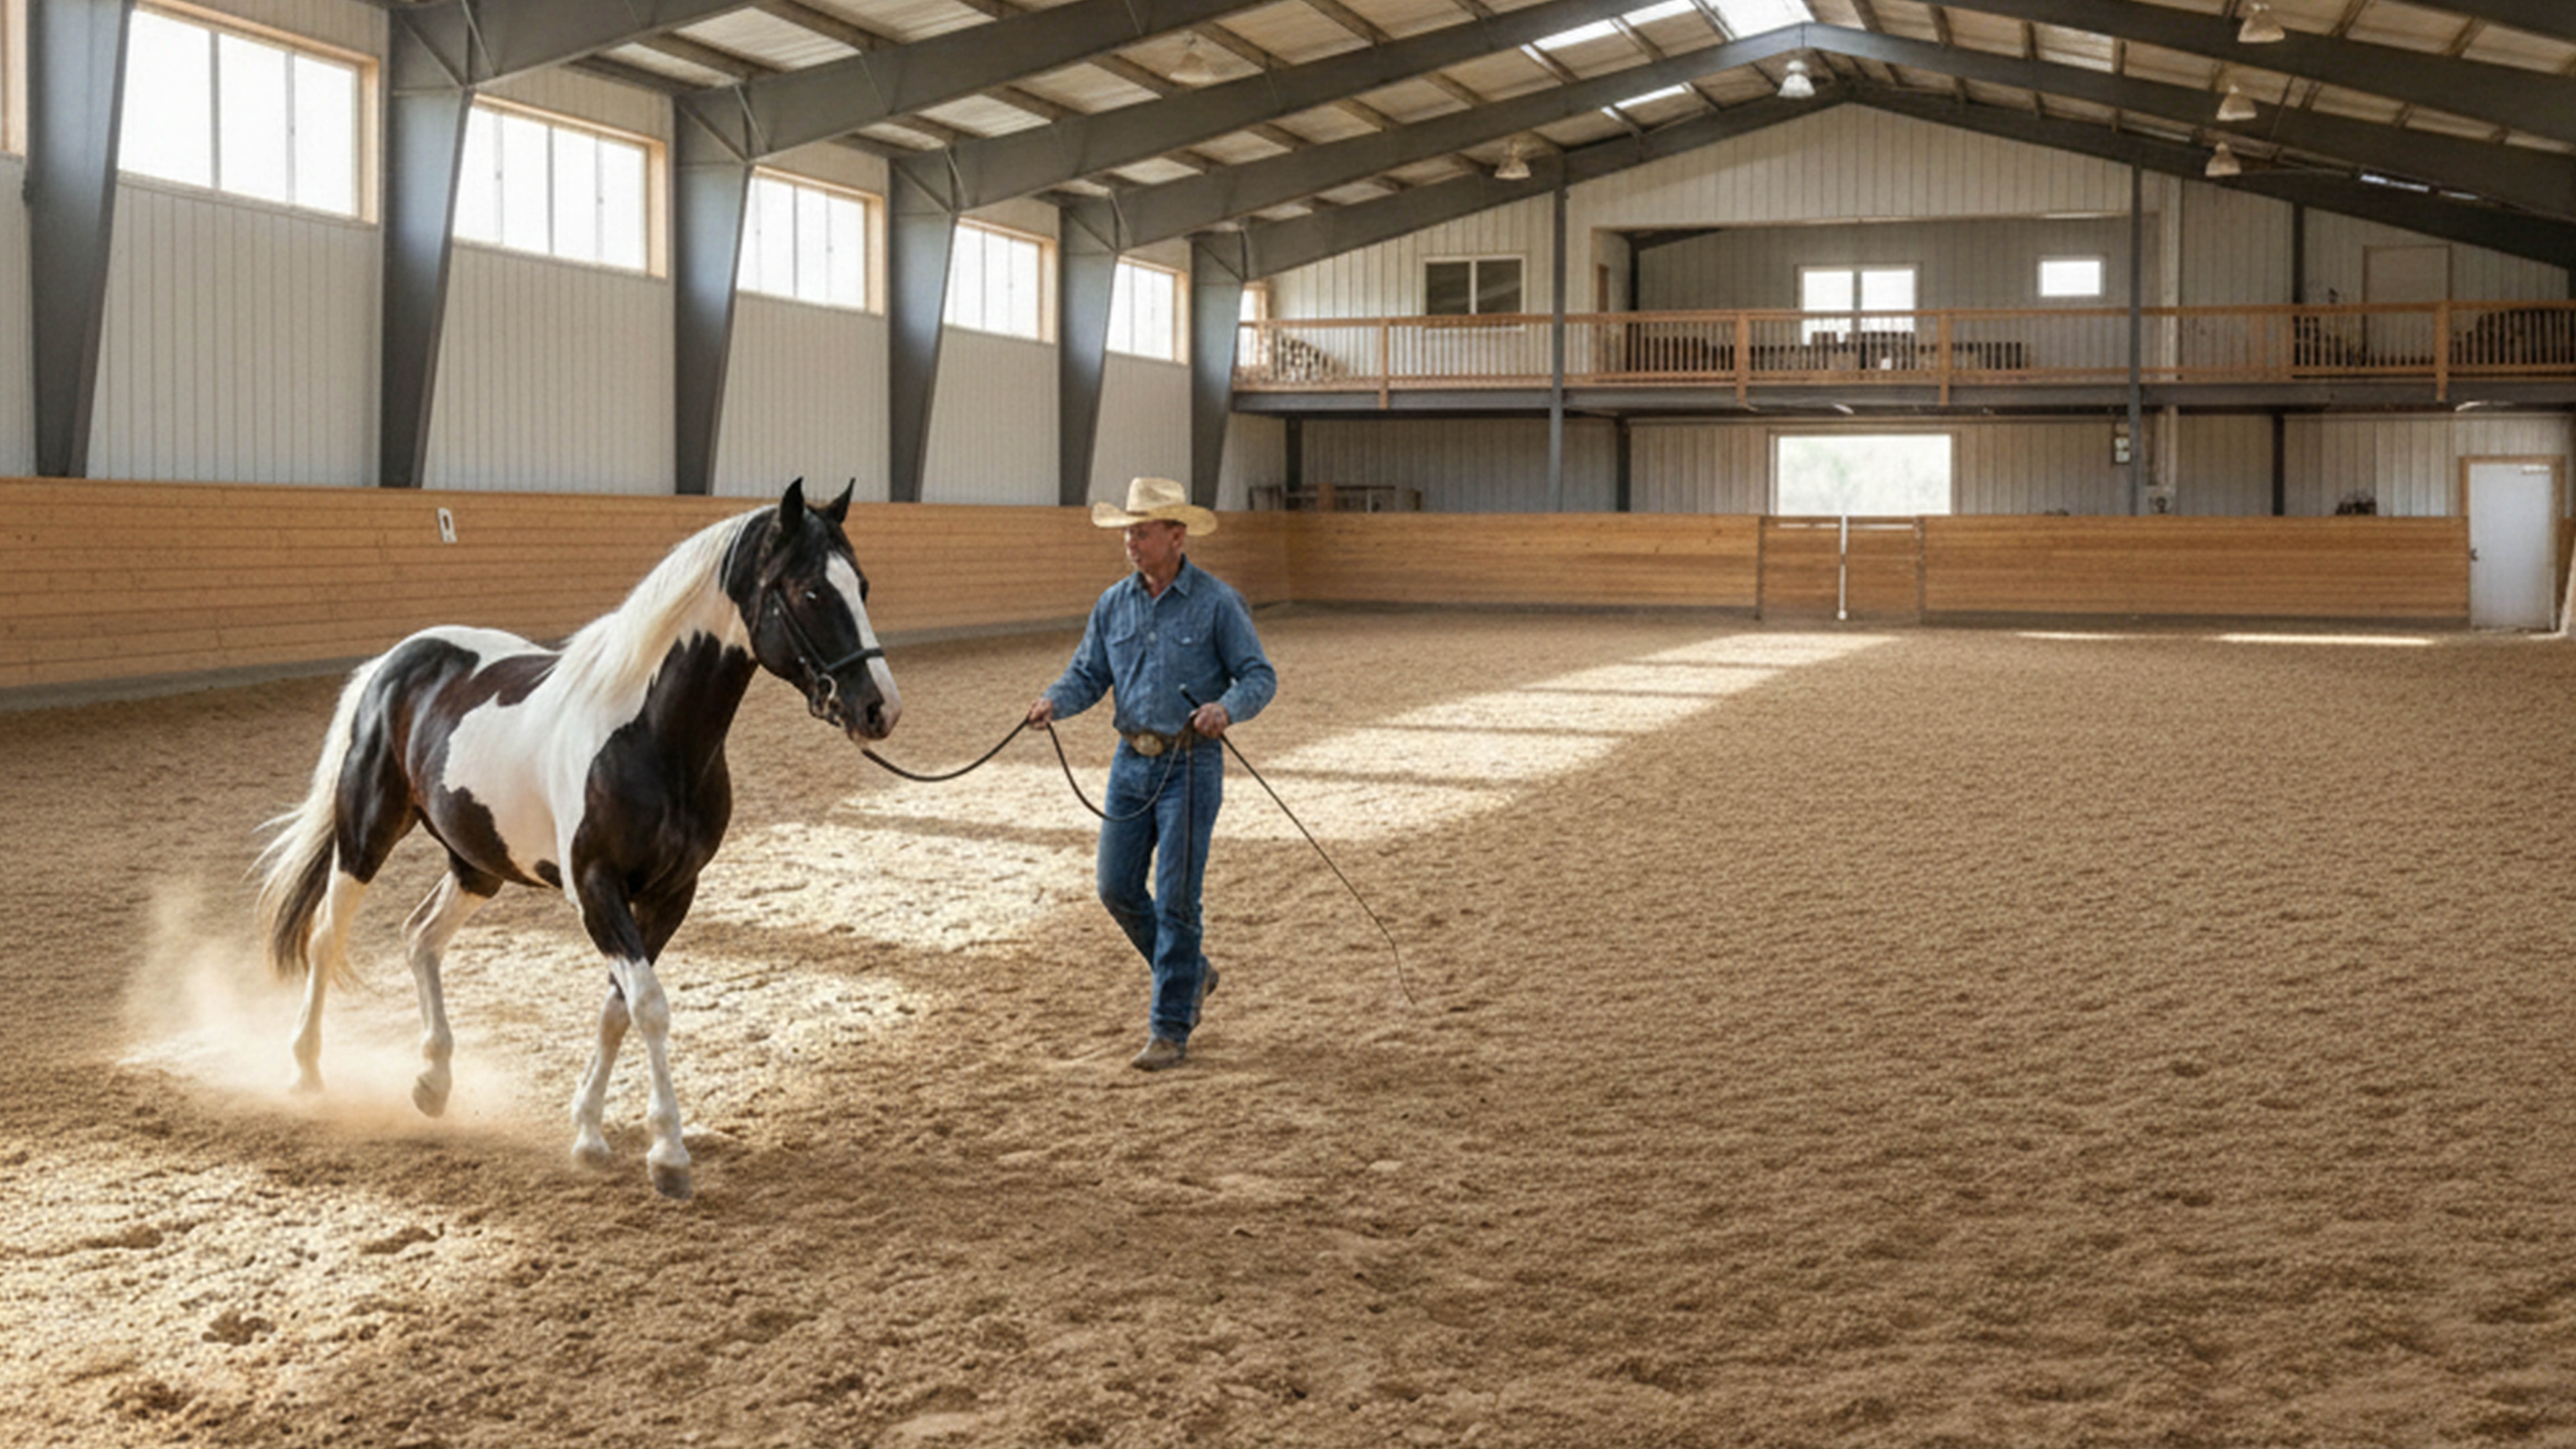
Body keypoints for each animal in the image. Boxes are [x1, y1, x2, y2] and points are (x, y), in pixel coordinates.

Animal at [254, 479, 898, 1199]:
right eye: (811, 591)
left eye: (861, 585)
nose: (879, 708)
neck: (651, 736)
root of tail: (393, 663)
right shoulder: (596, 890)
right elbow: (648, 1005)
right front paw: (668, 1153)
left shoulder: (671, 895)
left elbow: (618, 1008)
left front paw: (589, 1132)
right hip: (366, 834)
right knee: (325, 935)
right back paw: (305, 1072)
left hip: (479, 864)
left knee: (421, 937)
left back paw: (433, 1080)